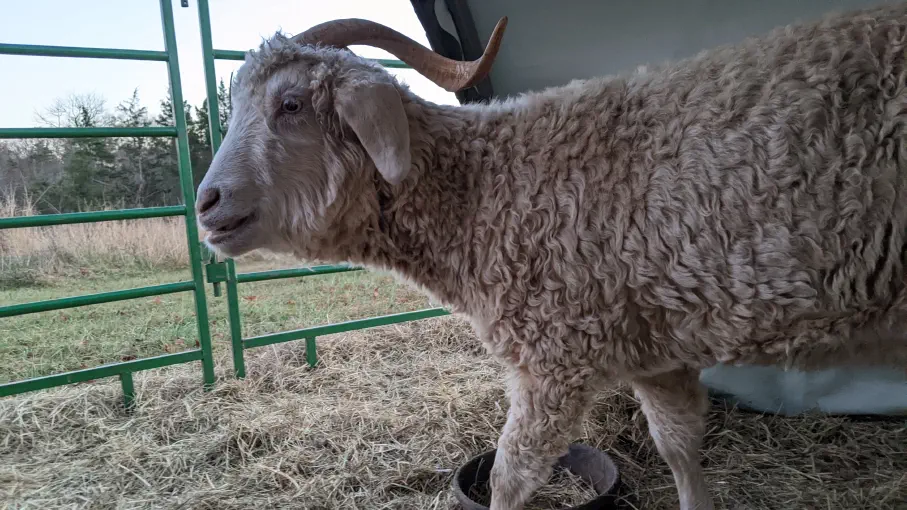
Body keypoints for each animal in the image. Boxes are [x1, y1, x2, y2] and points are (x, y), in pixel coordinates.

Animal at [195, 4, 907, 509]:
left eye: (290, 105)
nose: (206, 203)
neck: (486, 189)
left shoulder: (554, 356)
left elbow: (510, 479)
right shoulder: (658, 351)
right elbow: (679, 447)